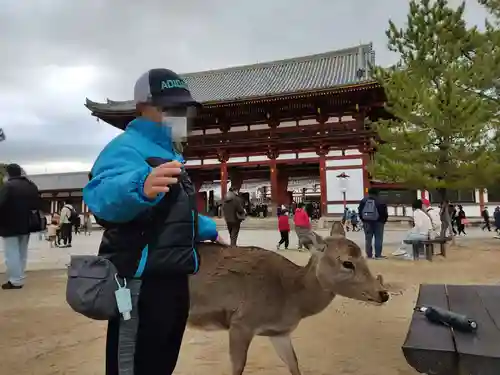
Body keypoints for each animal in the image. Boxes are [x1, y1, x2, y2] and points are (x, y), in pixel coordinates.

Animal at [188, 223, 390, 375]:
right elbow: (238, 368)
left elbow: (294, 364)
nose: (384, 294)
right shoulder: (241, 322)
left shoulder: (280, 333)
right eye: (347, 262)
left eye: (364, 257)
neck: (290, 299)